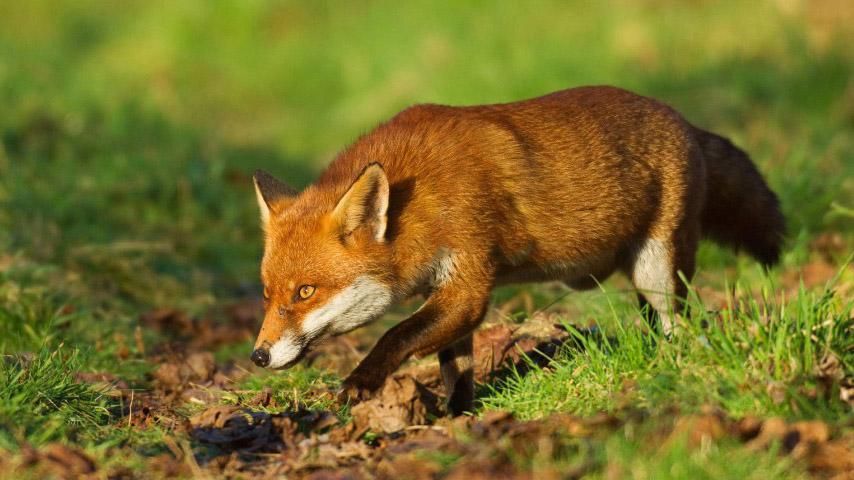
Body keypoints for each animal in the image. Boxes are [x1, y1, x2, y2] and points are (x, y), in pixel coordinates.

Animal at [247, 85, 784, 412]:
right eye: (268, 295)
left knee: (682, 328)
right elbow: (455, 368)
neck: (421, 199)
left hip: (659, 275)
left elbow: (395, 336)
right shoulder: (448, 294)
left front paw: (362, 382)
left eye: (305, 292)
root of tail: (685, 121)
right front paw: (457, 417)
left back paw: (670, 370)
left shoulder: (468, 282)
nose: (258, 357)